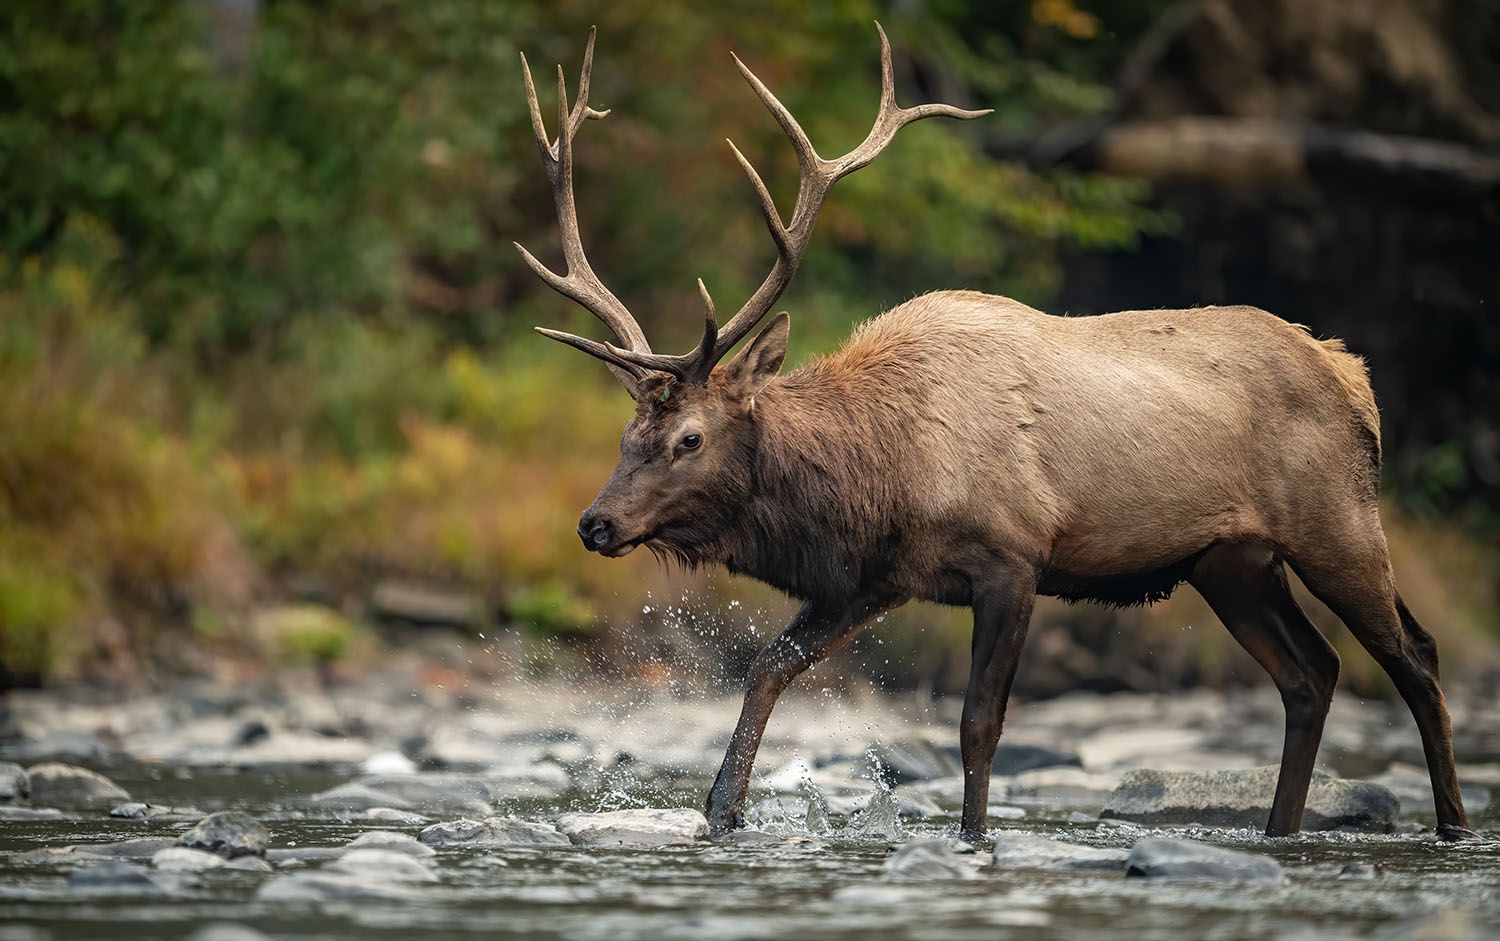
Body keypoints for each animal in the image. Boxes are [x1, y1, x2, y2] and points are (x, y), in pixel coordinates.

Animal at [516, 25, 1476, 840]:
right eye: (626, 433)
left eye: (688, 438)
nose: (595, 523)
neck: (883, 470)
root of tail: (1357, 380)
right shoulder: (874, 576)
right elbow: (766, 669)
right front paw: (721, 813)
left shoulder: (1013, 556)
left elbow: (980, 723)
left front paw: (974, 837)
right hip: (1230, 562)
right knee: (1312, 675)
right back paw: (1281, 831)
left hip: (1337, 524)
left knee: (1416, 655)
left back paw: (1453, 824)